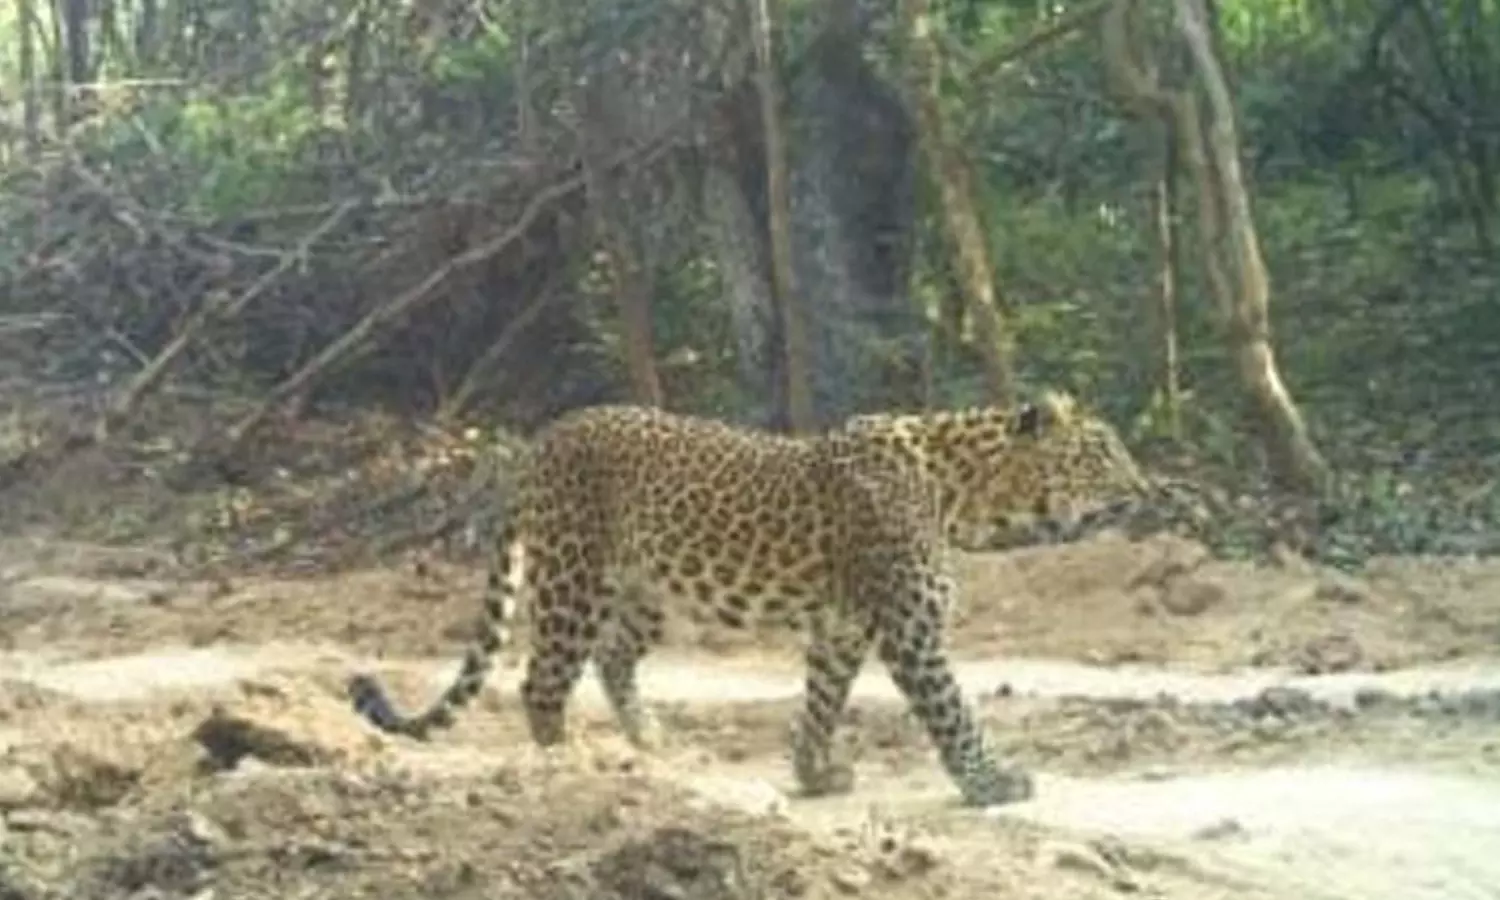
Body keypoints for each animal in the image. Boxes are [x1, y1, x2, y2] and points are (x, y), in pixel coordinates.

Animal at [348, 390, 1149, 807]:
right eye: (1102, 452)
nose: (1145, 489)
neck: (964, 492)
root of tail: (544, 439)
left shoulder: (842, 627)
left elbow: (821, 702)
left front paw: (814, 773)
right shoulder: (910, 628)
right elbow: (955, 713)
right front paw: (994, 781)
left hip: (644, 589)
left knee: (612, 657)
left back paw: (649, 743)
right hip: (575, 577)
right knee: (541, 679)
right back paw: (571, 764)